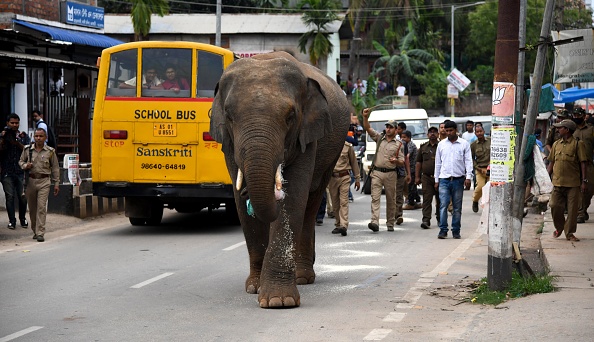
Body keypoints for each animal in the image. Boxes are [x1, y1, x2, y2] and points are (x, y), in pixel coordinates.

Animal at [208, 51, 350, 310]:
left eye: (290, 116)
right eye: (230, 116)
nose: (249, 195)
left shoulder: (307, 135)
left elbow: (293, 198)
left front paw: (278, 301)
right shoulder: (228, 145)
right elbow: (240, 203)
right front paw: (255, 288)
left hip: (333, 150)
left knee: (311, 202)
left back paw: (303, 277)